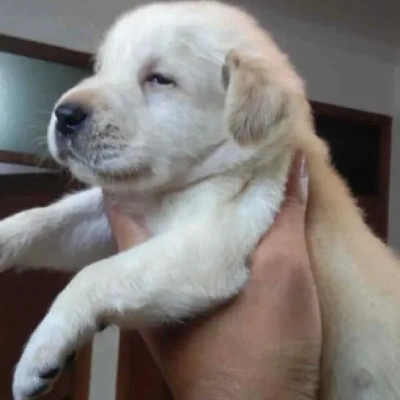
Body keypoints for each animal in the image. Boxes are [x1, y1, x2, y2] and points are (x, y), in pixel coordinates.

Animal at [1, 1, 398, 398]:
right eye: (101, 69)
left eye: (159, 79)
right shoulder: (118, 213)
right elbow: (46, 219)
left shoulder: (213, 240)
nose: (64, 114)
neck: (172, 191)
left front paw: (40, 352)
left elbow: (96, 274)